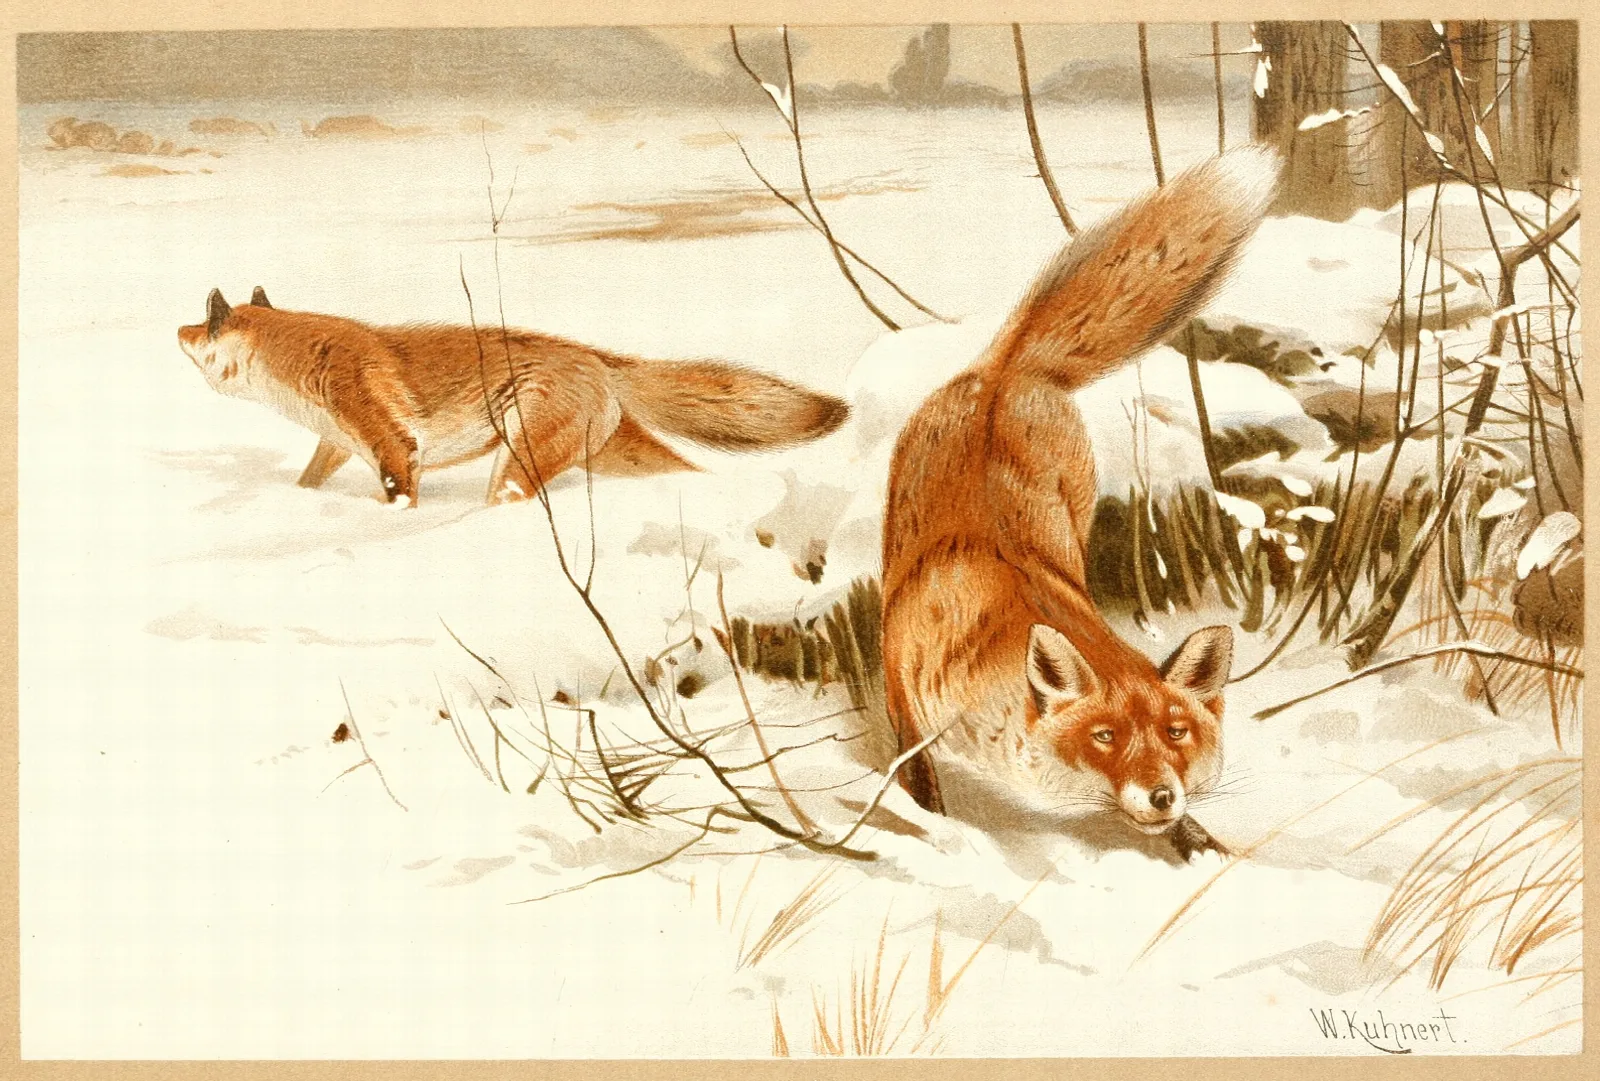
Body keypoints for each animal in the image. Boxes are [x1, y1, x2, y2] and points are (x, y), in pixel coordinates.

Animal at [177, 288, 849, 506]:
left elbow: (399, 498)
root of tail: (598, 358)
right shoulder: (338, 443)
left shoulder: (393, 446)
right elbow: (308, 482)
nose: (174, 330)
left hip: (517, 463)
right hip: (613, 454)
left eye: (203, 325)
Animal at [880, 146, 1281, 861]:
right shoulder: (905, 690)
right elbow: (918, 781)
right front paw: (935, 829)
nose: (1162, 795)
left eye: (1176, 733)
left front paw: (1205, 850)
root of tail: (1005, 370)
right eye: (1105, 737)